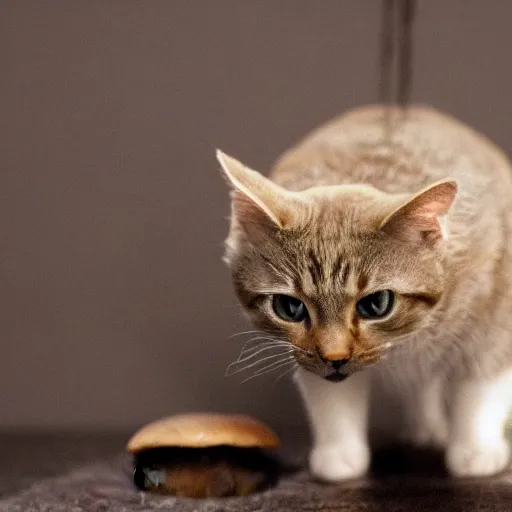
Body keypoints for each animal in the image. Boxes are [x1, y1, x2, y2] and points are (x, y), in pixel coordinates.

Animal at [216, 105, 512, 480]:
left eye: (376, 304)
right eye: (289, 308)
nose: (335, 357)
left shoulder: (496, 312)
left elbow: (481, 385)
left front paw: (476, 449)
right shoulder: (313, 357)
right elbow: (333, 396)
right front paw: (340, 453)